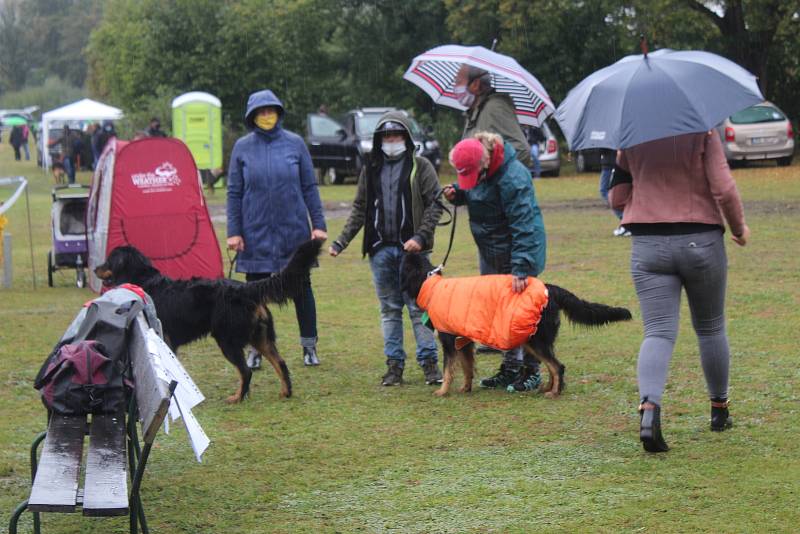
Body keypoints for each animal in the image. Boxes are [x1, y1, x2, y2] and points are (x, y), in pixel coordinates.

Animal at [92, 241, 320, 404]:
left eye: (109, 260)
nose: (94, 269)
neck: (144, 282)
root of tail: (246, 289)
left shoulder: (163, 337)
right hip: (260, 337)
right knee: (280, 363)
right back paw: (285, 392)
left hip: (227, 340)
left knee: (245, 371)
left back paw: (237, 398)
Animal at [404, 254, 636, 398]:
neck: (431, 285)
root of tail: (550, 289)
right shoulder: (463, 341)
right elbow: (467, 367)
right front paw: (465, 387)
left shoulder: (449, 341)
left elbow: (449, 369)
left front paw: (443, 391)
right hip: (535, 340)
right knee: (552, 366)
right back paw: (546, 388)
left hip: (535, 340)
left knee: (557, 366)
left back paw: (554, 392)